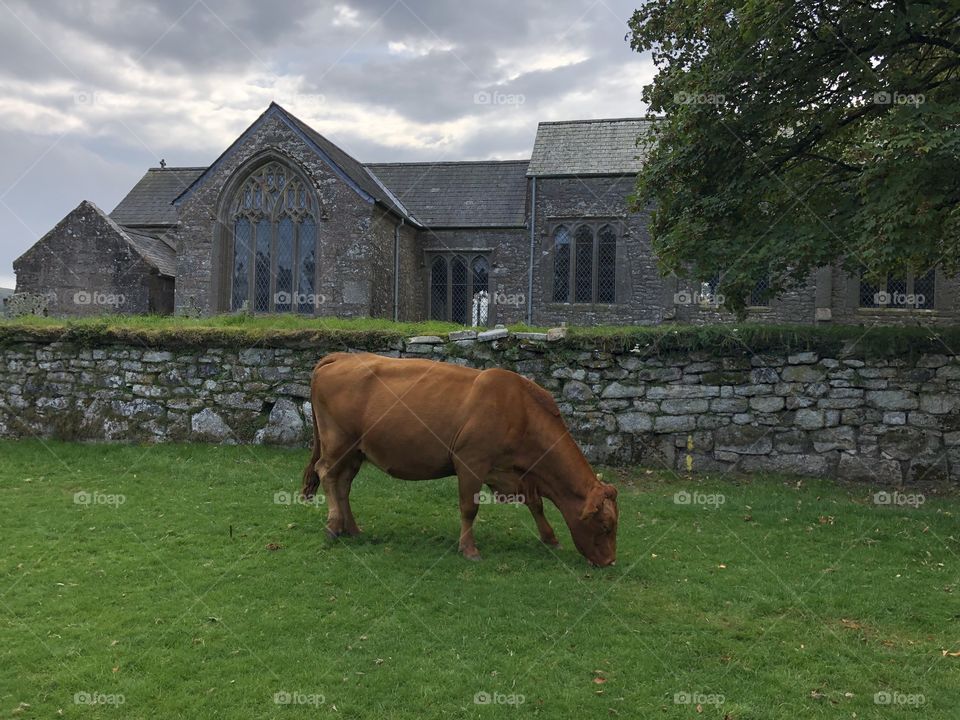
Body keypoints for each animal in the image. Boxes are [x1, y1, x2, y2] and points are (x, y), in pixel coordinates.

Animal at [302, 352, 624, 564]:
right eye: (606, 526)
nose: (610, 561)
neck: (520, 410)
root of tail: (341, 356)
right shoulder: (471, 462)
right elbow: (469, 508)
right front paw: (469, 549)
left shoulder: (515, 473)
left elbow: (536, 504)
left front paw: (551, 539)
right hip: (337, 442)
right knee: (326, 474)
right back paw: (332, 527)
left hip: (356, 451)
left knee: (343, 485)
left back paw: (352, 529)